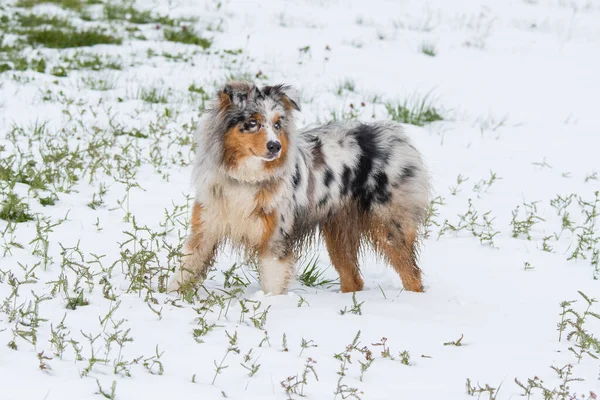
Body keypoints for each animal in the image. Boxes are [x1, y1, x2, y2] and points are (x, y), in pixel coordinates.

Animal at [168, 80, 432, 294]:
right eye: (252, 122)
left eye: (277, 124)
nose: (275, 146)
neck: (245, 178)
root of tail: (397, 135)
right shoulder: (206, 229)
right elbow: (184, 271)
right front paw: (171, 298)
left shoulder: (276, 238)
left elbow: (272, 285)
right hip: (338, 231)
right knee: (354, 279)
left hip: (389, 226)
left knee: (412, 273)